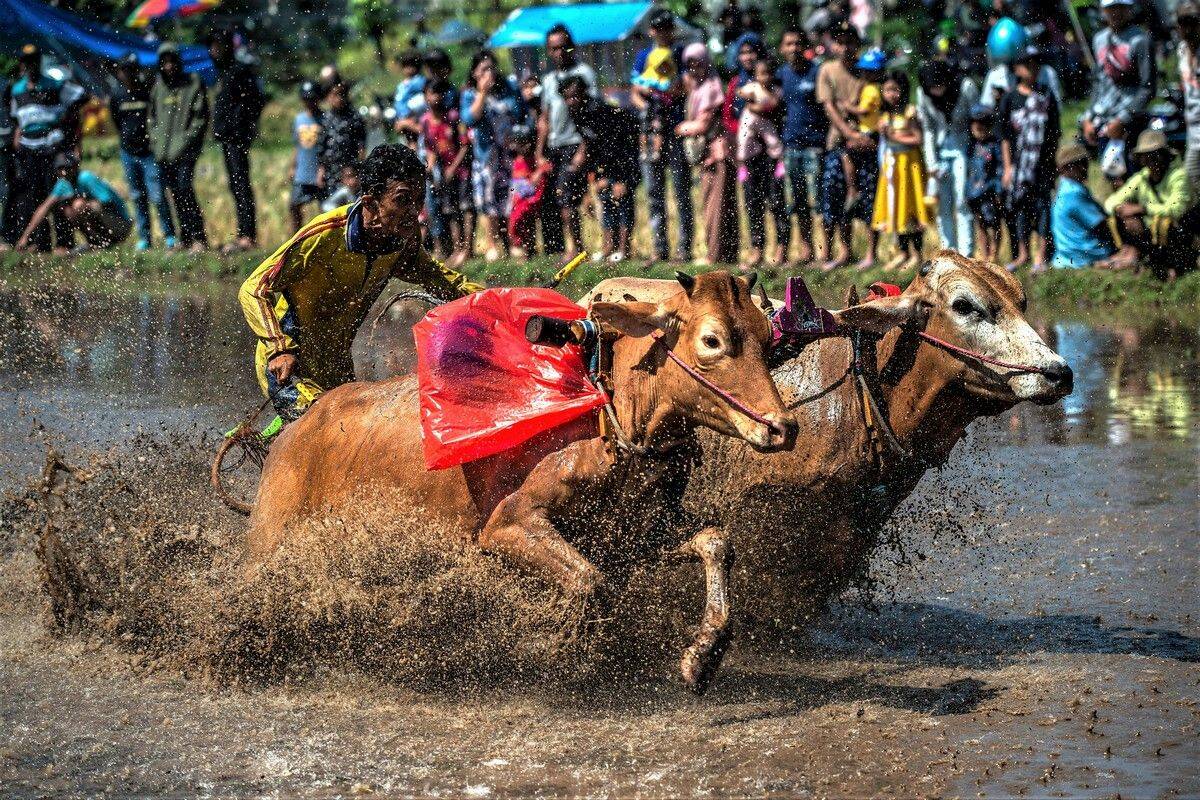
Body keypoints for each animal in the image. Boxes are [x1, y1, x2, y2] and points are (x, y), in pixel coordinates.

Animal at [246, 272, 796, 690]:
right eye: (712, 340)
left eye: (764, 337)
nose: (781, 427)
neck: (610, 411)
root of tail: (292, 433)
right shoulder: (508, 524)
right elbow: (589, 580)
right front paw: (561, 647)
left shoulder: (636, 528)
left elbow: (715, 541)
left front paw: (702, 656)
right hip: (270, 544)